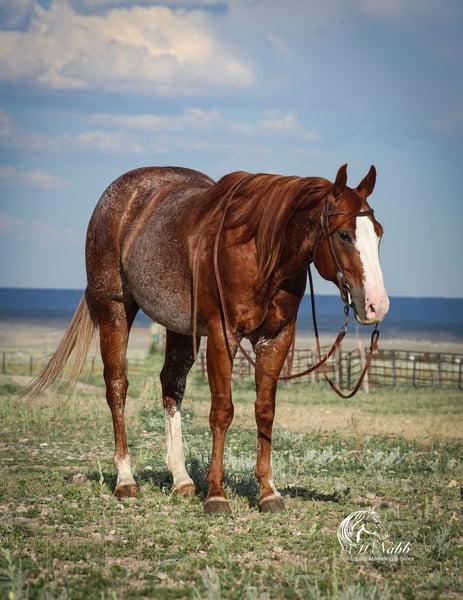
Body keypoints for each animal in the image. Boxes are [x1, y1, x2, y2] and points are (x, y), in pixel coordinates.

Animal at [29, 163, 389, 514]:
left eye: (379, 234)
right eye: (344, 234)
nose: (377, 305)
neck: (257, 249)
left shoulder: (276, 338)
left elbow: (265, 411)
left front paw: (267, 492)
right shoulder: (222, 334)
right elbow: (222, 411)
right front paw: (216, 495)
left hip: (179, 328)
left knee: (171, 386)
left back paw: (181, 479)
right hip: (114, 310)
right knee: (117, 387)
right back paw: (126, 479)